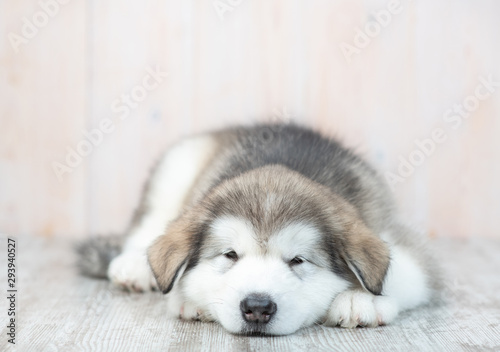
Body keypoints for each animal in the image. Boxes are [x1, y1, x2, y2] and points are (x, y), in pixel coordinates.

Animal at [77, 124, 438, 336]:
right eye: (230, 255)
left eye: (298, 261)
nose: (258, 308)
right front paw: (192, 298)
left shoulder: (398, 239)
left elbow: (405, 271)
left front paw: (358, 298)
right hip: (177, 167)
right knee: (150, 223)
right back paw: (134, 265)